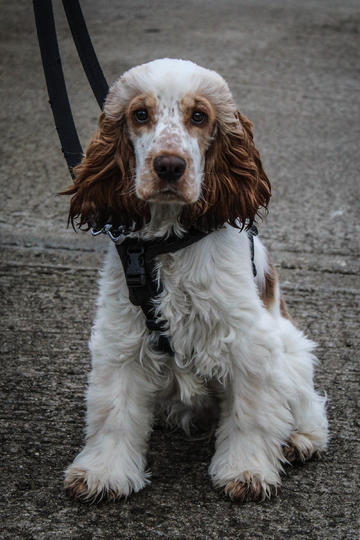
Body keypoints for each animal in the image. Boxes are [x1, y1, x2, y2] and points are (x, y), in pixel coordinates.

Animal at [62, 58, 330, 502]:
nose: (169, 166)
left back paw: (299, 440)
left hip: (292, 349)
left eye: (199, 117)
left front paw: (246, 471)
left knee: (309, 406)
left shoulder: (248, 341)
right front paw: (103, 473)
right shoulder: (121, 335)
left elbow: (251, 414)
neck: (170, 239)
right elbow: (114, 411)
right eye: (140, 114)